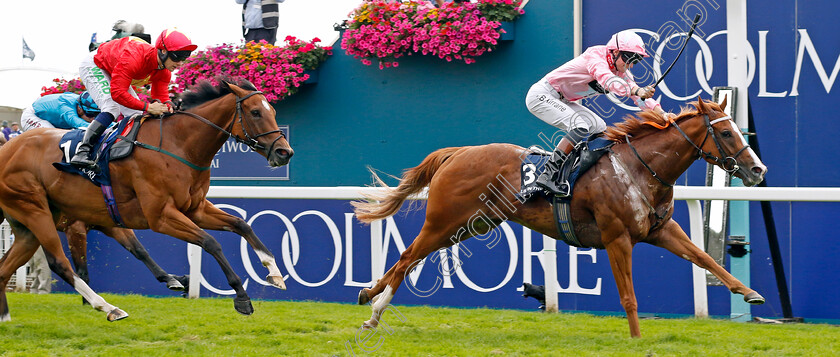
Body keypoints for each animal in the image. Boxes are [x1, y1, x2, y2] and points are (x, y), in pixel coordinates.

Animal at [0, 79, 292, 322]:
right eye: (255, 112)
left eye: (274, 112)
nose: (284, 152)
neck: (178, 145)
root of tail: (7, 148)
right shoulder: (159, 216)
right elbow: (210, 242)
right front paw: (241, 297)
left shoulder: (194, 209)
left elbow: (242, 224)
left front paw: (274, 272)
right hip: (34, 210)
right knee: (58, 263)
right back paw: (108, 307)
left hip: (27, 225)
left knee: (5, 269)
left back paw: (6, 318)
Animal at [354, 97, 768, 336]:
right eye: (727, 134)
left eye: (740, 131)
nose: (757, 170)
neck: (640, 168)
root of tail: (458, 153)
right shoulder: (616, 237)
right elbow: (629, 296)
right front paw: (636, 338)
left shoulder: (661, 229)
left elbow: (703, 258)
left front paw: (749, 292)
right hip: (445, 220)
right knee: (408, 257)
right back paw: (375, 312)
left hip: (471, 226)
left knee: (409, 260)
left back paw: (368, 294)